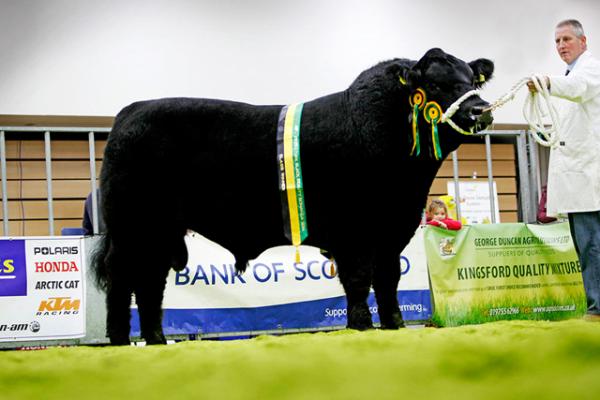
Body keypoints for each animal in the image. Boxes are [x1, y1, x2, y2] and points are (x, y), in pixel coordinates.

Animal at [94, 48, 494, 346]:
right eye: (436, 84)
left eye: (469, 80)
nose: (481, 110)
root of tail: (130, 112)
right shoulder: (354, 231)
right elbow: (359, 279)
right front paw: (362, 327)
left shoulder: (394, 229)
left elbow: (388, 279)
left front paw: (394, 324)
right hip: (132, 226)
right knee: (122, 278)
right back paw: (119, 340)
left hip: (159, 232)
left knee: (150, 282)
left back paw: (156, 339)